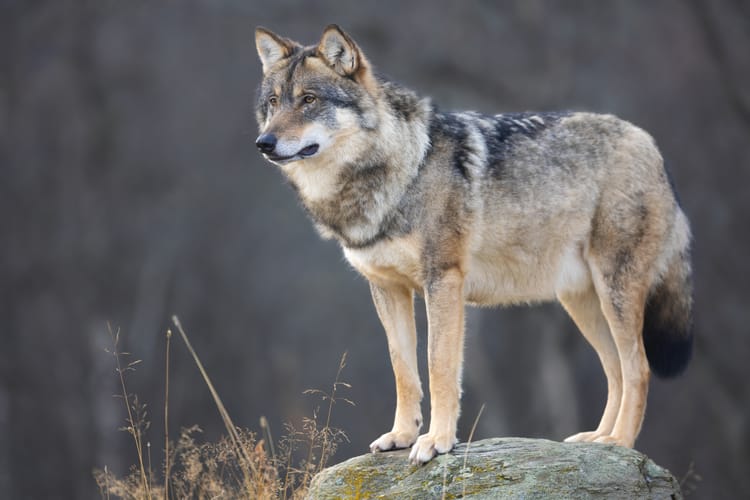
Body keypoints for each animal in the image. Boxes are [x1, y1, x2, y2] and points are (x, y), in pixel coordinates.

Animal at [253, 25, 693, 464]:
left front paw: (436, 441)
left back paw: (620, 443)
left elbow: (439, 367)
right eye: (273, 102)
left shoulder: (443, 281)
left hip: (613, 291)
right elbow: (403, 369)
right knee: (615, 369)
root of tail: (649, 143)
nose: (263, 142)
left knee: (638, 368)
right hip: (582, 303)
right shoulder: (387, 288)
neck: (401, 168)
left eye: (309, 100)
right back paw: (599, 440)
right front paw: (401, 436)